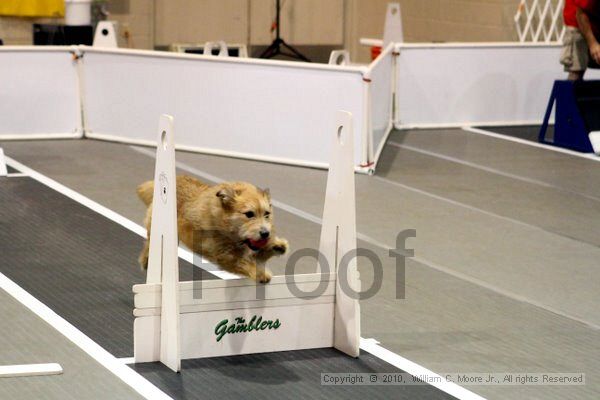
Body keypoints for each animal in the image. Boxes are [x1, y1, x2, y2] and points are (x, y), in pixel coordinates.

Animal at [137, 176, 288, 284]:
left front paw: (277, 245)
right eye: (249, 214)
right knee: (149, 243)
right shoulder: (224, 256)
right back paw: (146, 260)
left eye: (267, 214)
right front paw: (261, 274)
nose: (265, 233)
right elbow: (243, 262)